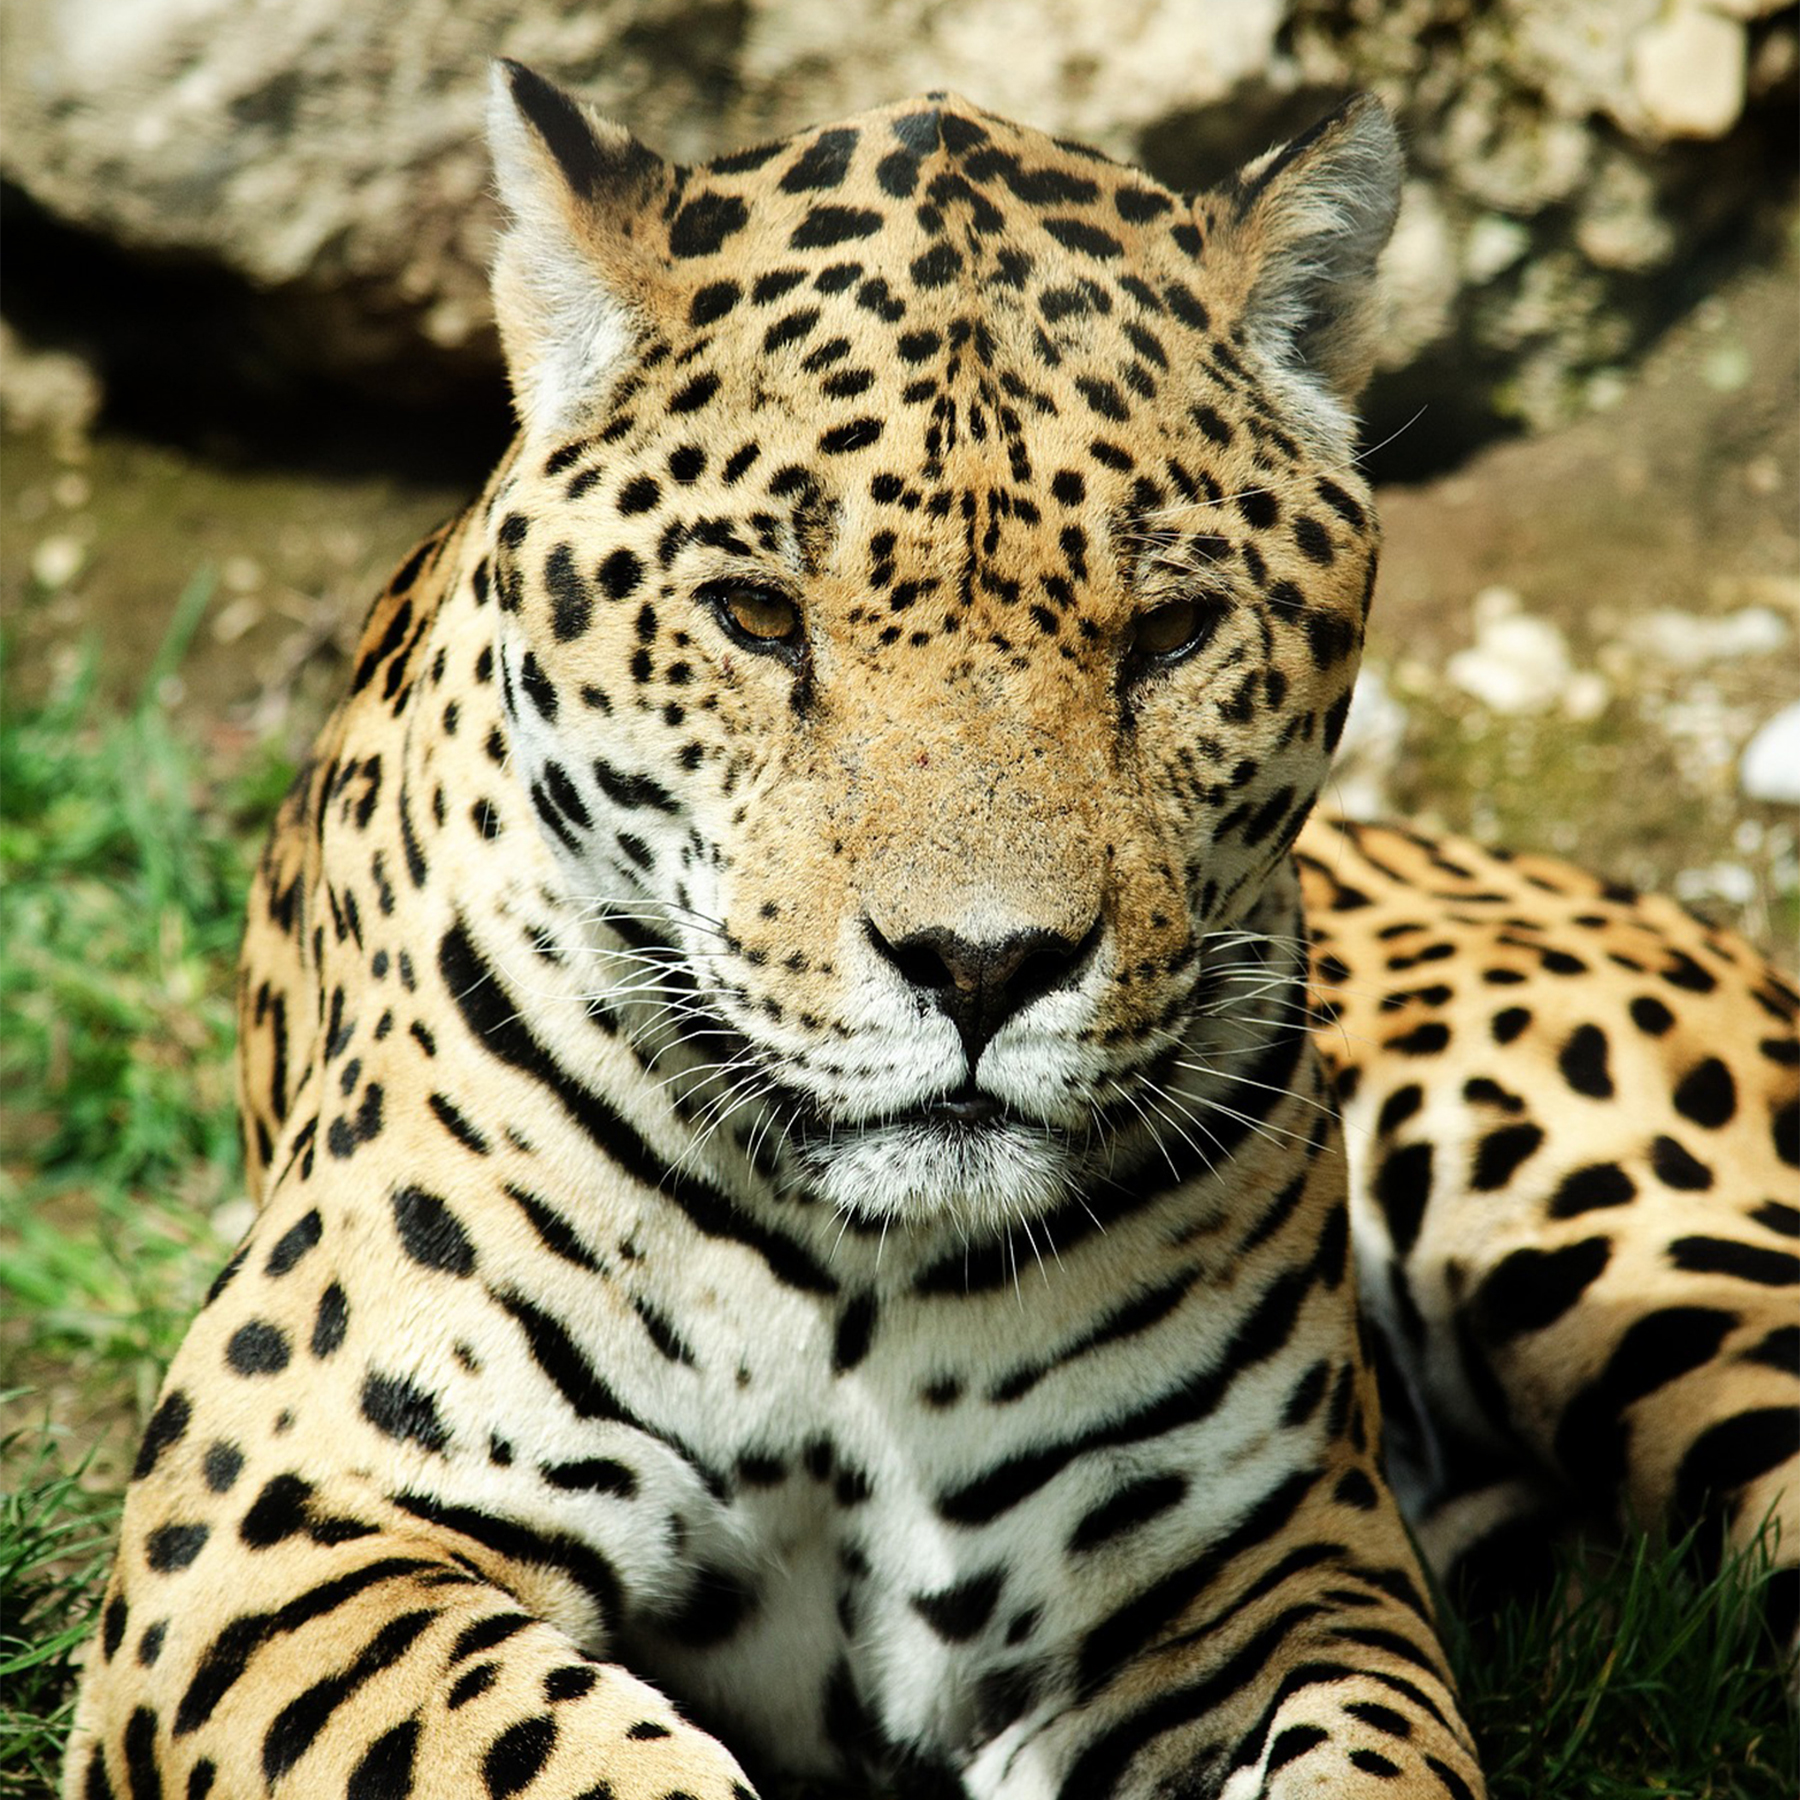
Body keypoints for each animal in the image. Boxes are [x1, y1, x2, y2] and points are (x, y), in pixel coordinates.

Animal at [66, 60, 1797, 1800]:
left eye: (1173, 632)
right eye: (757, 615)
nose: (982, 967)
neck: (858, 1289)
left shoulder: (1276, 1569)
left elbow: (1370, 1759)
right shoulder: (278, 1519)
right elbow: (565, 1751)